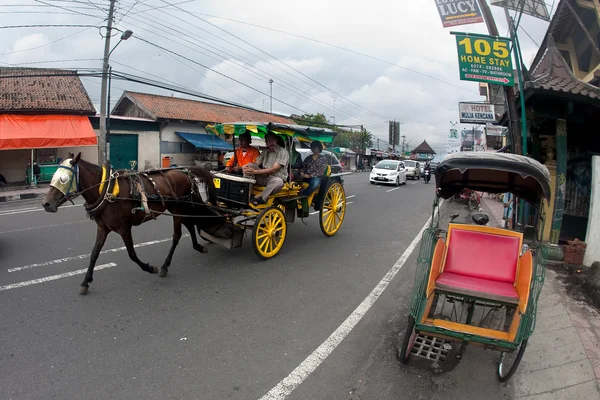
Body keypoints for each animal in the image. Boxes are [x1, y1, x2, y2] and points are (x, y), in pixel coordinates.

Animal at [41, 153, 226, 294]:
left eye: (63, 179)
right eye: (53, 177)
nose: (46, 204)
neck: (107, 191)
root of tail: (184, 171)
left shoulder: (124, 228)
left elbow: (131, 254)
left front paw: (150, 268)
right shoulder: (103, 228)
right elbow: (94, 254)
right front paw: (86, 281)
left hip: (179, 206)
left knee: (178, 234)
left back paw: (165, 266)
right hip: (178, 207)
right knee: (190, 224)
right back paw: (198, 247)